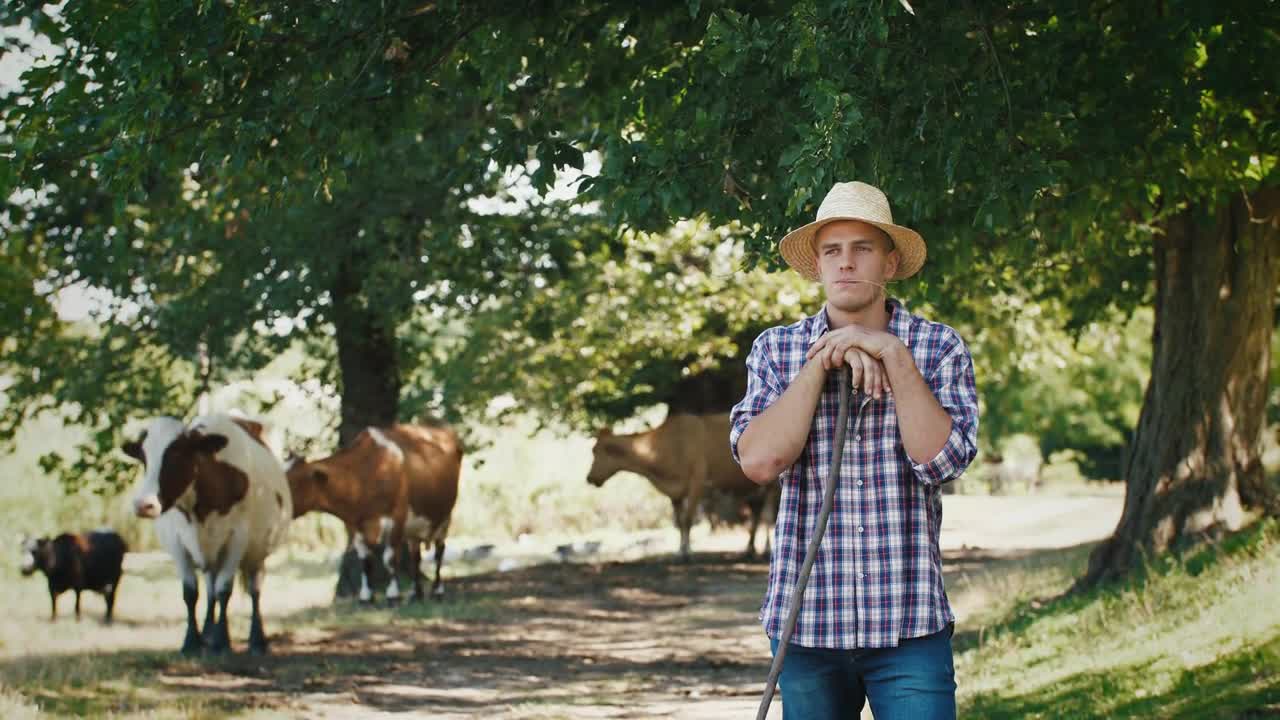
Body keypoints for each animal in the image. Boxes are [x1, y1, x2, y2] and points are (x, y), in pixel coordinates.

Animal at [122, 412, 293, 653]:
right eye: (144, 458)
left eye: (177, 453)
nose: (143, 505)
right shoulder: (176, 542)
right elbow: (191, 592)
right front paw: (192, 641)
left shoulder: (237, 539)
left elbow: (224, 590)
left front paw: (222, 642)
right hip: (213, 555)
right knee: (211, 589)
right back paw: (208, 632)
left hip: (257, 552)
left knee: (254, 590)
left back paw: (256, 639)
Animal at [288, 422, 463, 602]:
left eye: (291, 482)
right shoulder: (356, 526)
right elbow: (365, 561)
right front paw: (366, 596)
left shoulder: (397, 518)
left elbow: (390, 558)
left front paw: (392, 594)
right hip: (415, 525)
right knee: (416, 556)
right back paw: (416, 592)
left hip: (445, 516)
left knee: (439, 552)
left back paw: (437, 590)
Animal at [588, 409, 778, 561]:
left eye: (596, 451)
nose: (589, 478)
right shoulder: (675, 492)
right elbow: (679, 522)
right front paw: (679, 551)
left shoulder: (697, 482)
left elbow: (687, 519)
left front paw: (687, 553)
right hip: (754, 488)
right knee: (757, 514)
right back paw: (750, 549)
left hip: (772, 486)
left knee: (768, 516)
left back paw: (766, 550)